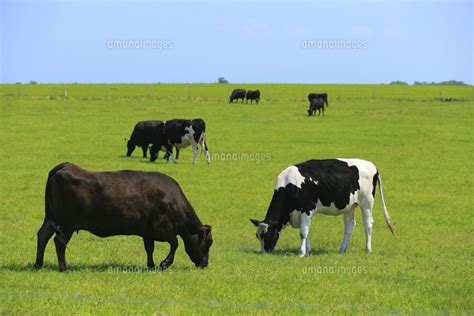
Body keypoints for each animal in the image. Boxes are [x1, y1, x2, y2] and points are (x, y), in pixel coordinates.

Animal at [33, 163, 211, 272]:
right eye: (209, 242)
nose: (205, 264)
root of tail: (65, 166)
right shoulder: (162, 229)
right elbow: (175, 243)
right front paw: (164, 264)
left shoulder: (148, 231)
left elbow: (150, 248)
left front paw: (151, 265)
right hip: (67, 224)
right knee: (59, 241)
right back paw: (64, 268)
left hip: (51, 219)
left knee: (42, 236)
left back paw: (38, 264)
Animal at [250, 158, 394, 256]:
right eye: (258, 236)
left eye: (268, 235)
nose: (264, 252)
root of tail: (372, 165)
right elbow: (306, 231)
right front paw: (307, 250)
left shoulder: (307, 209)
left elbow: (303, 232)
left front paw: (301, 252)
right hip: (350, 205)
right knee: (349, 226)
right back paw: (342, 249)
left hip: (366, 202)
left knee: (368, 224)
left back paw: (368, 249)